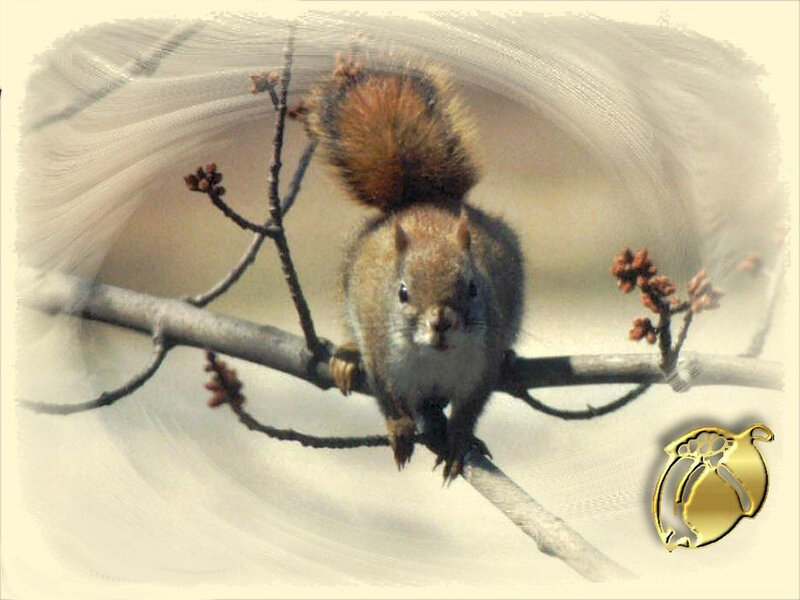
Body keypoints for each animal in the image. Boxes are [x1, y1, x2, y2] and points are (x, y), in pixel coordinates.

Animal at [299, 52, 524, 481]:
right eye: (402, 292)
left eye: (473, 287)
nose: (441, 321)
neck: (435, 356)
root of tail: (420, 199)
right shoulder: (381, 354)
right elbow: (388, 399)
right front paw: (400, 428)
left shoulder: (480, 367)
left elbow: (471, 409)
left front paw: (459, 439)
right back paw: (345, 357)